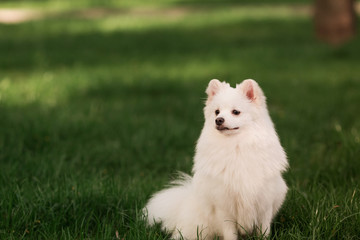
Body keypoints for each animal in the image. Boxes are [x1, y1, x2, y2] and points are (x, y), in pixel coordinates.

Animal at [145, 79, 288, 238]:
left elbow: (264, 231)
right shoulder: (223, 206)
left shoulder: (265, 203)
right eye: (217, 112)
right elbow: (230, 233)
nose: (218, 120)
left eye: (235, 112)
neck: (236, 147)